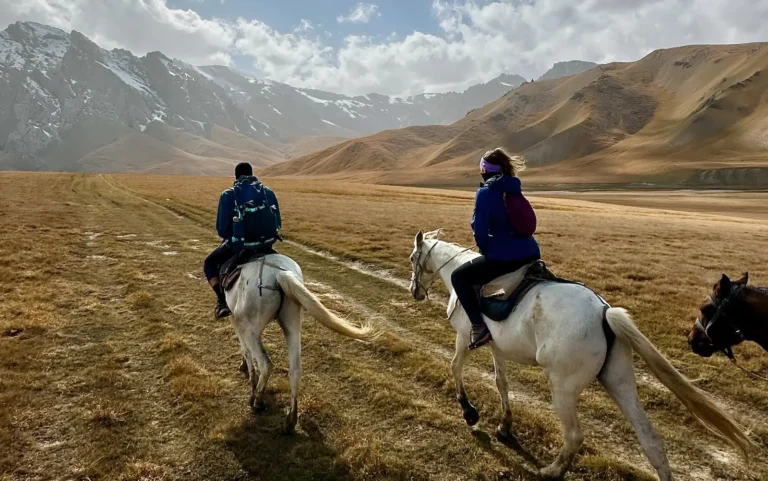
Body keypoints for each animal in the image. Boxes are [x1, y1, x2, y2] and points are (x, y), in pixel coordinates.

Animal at [224, 253, 376, 434]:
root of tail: (279, 274)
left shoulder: (235, 321)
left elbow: (246, 351)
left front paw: (246, 371)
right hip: (292, 325)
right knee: (295, 370)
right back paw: (291, 420)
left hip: (250, 330)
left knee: (265, 364)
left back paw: (257, 401)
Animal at [408, 231, 752, 478]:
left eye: (413, 257)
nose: (415, 291)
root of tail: (604, 312)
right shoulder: (496, 347)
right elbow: (501, 383)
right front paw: (505, 426)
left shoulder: (463, 337)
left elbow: (455, 368)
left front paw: (470, 412)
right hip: (619, 379)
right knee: (651, 440)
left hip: (563, 386)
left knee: (574, 436)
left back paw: (551, 471)